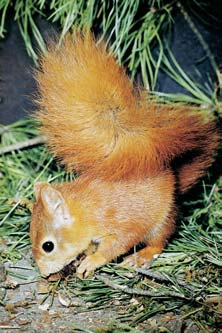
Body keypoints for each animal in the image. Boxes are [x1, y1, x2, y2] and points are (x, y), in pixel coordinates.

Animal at [29, 32, 219, 278]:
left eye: (48, 246)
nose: (43, 274)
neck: (87, 211)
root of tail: (172, 176)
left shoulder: (122, 223)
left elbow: (119, 244)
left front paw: (91, 261)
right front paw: (86, 252)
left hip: (160, 221)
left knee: (159, 242)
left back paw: (140, 257)